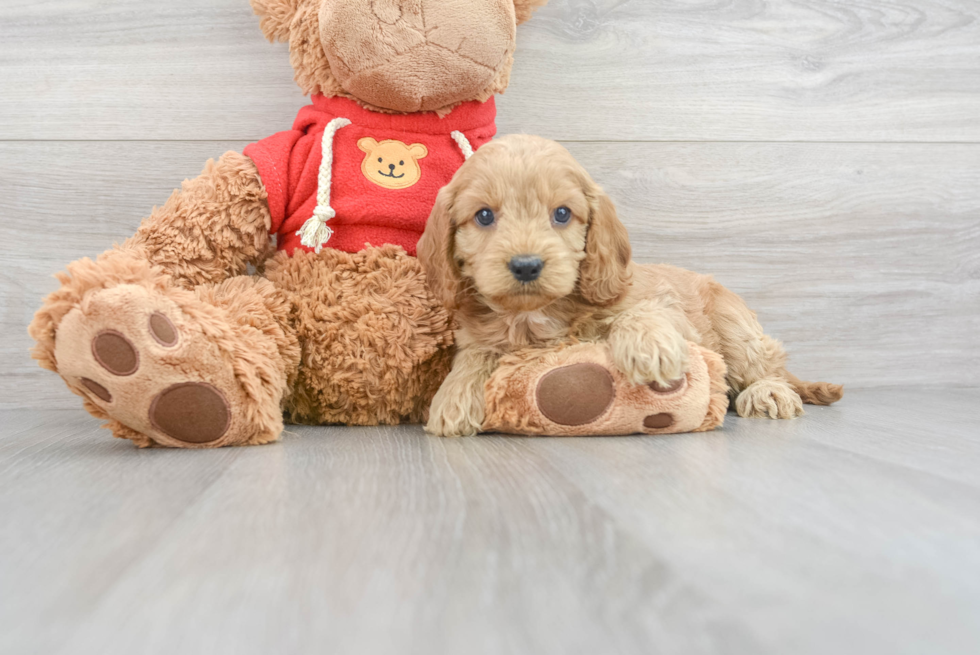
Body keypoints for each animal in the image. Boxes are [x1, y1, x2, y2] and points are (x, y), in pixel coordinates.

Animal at [418, 135, 848, 438]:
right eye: (484, 216)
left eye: (562, 214)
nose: (526, 265)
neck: (537, 315)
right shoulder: (477, 333)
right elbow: (476, 354)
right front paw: (455, 396)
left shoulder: (665, 308)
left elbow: (640, 311)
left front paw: (650, 347)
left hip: (735, 326)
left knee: (765, 366)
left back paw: (768, 392)